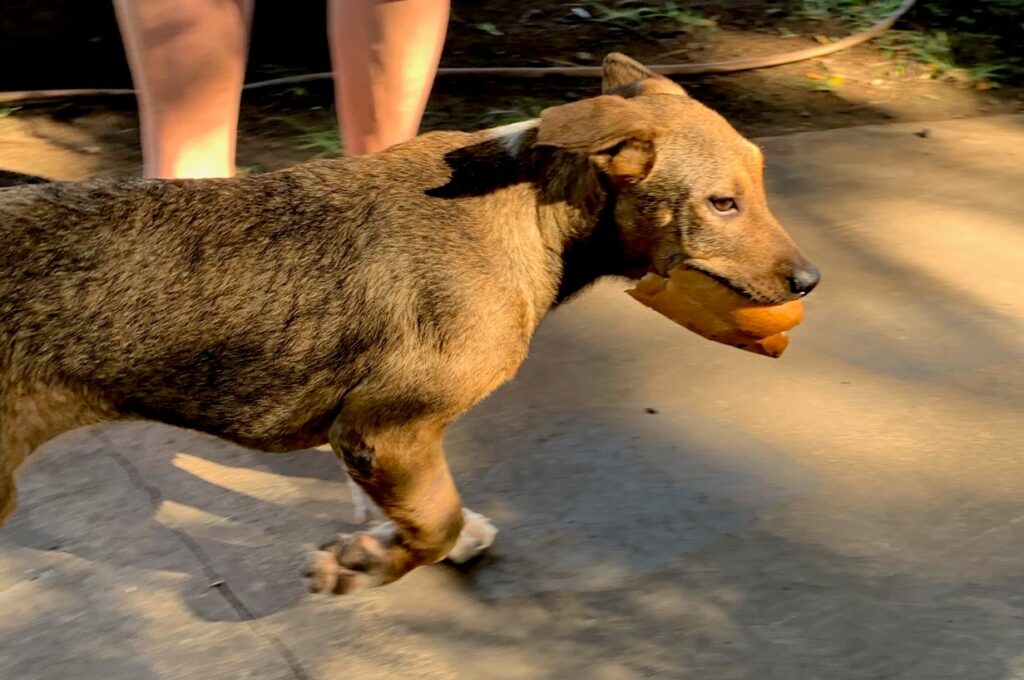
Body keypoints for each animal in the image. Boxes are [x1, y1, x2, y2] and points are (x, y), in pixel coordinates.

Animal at [0, 54, 815, 593]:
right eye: (722, 204)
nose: (809, 281)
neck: (528, 210)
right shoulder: (386, 428)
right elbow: (436, 519)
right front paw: (367, 565)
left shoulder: (368, 431)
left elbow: (416, 508)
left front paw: (395, 541)